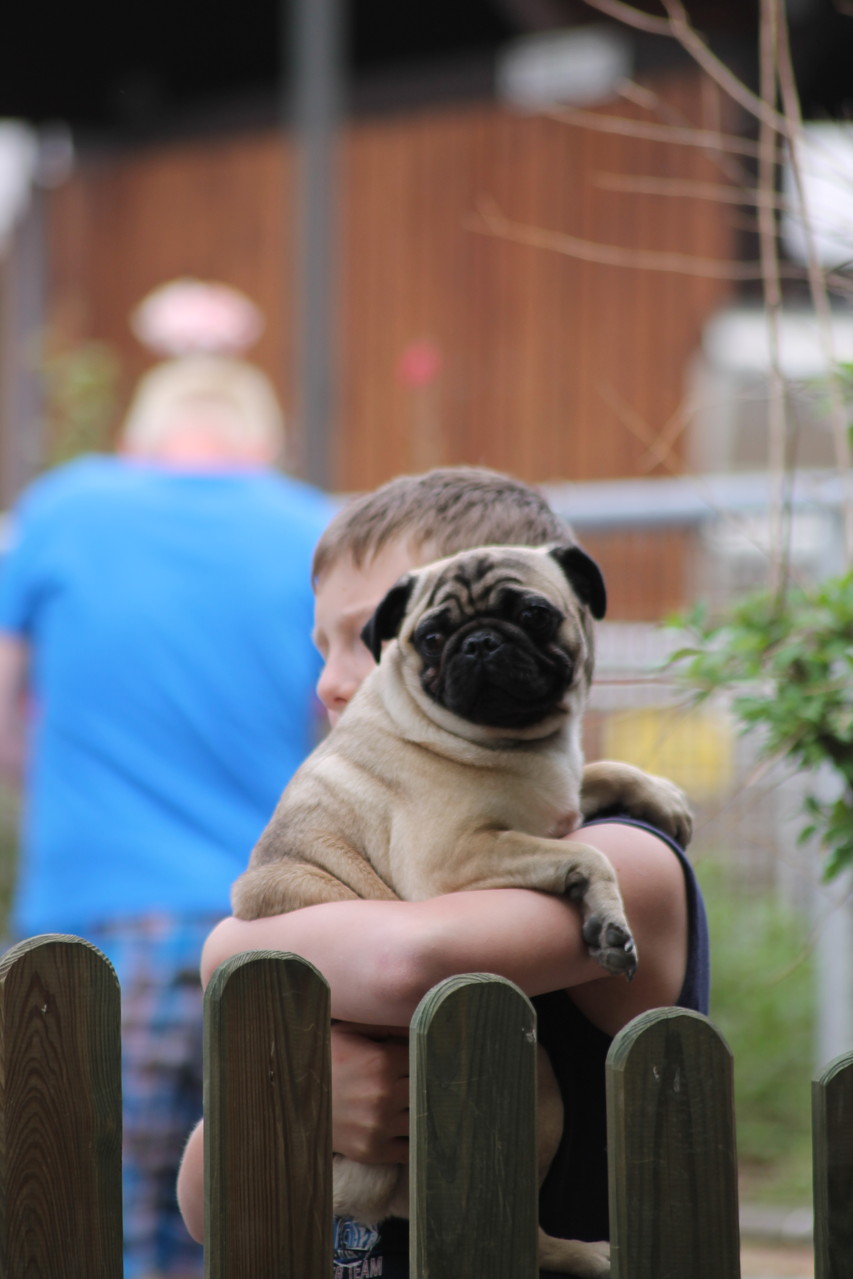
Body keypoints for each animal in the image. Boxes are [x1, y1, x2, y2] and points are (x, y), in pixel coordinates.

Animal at [231, 542, 695, 1279]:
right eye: (431, 636)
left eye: (534, 614)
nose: (478, 643)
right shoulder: (453, 858)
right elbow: (589, 853)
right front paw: (606, 920)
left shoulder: (554, 802)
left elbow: (595, 777)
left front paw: (657, 795)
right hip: (540, 1089)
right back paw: (581, 1252)